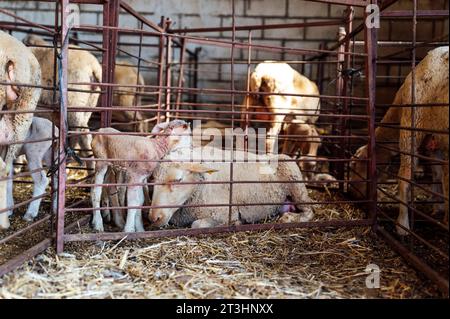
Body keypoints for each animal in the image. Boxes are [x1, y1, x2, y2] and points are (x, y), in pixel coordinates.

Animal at [22, 33, 102, 171]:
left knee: (77, 134)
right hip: (87, 107)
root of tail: (93, 67)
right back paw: (90, 169)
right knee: (84, 135)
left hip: (73, 105)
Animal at [149, 146, 314, 229]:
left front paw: (236, 223)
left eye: (178, 179)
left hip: (295, 183)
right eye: (152, 179)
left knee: (310, 211)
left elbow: (197, 225)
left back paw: (288, 218)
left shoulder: (225, 212)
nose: (153, 218)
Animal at [350, 45, 448, 235]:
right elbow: (438, 175)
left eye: (354, 166)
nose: (354, 197)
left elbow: (405, 179)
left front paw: (402, 225)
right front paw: (439, 207)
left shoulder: (412, 126)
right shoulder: (436, 140)